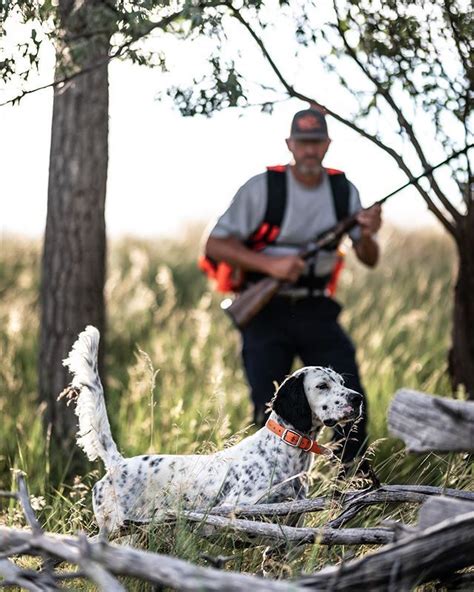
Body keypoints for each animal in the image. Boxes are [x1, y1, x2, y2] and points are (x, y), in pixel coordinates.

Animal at [62, 324, 362, 536]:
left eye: (340, 381)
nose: (357, 398)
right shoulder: (237, 509)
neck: (285, 450)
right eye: (322, 385)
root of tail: (117, 464)